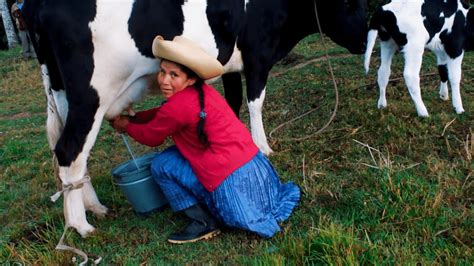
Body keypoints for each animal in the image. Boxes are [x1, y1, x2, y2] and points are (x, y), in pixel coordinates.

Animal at [22, 0, 368, 237]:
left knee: (72, 153)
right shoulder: (258, 53)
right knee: (70, 150)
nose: (365, 43)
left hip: (61, 92)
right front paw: (263, 147)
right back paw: (80, 226)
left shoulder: (230, 65)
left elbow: (233, 103)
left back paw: (94, 207)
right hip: (91, 94)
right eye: (348, 2)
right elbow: (255, 102)